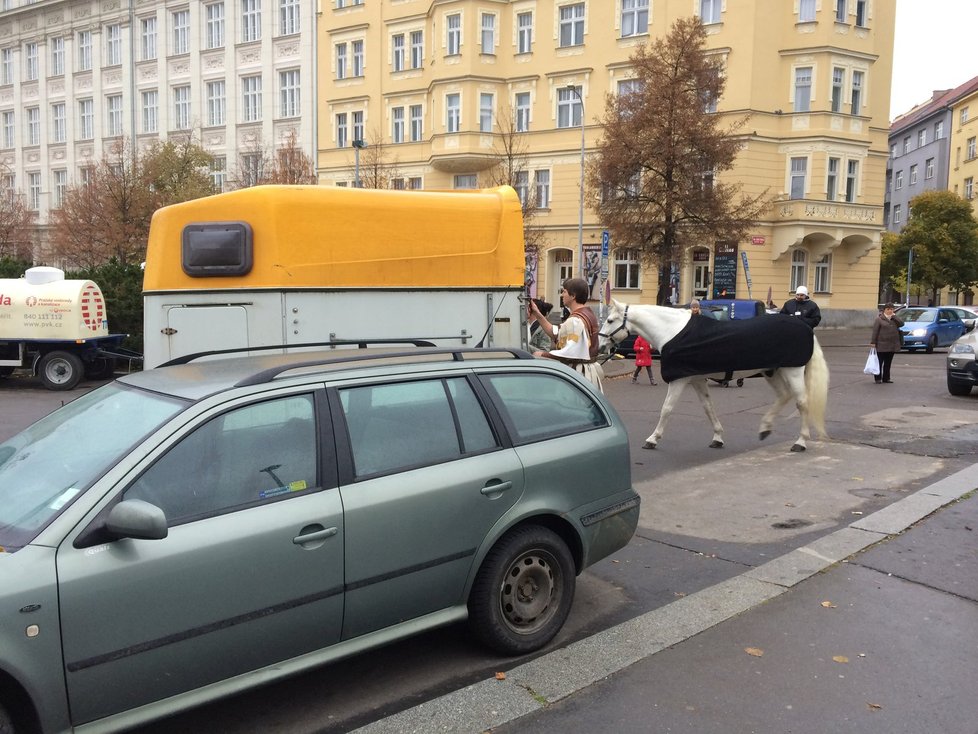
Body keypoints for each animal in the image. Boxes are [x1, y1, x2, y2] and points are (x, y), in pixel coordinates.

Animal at [600, 300, 828, 452]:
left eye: (610, 320)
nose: (601, 345)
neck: (672, 331)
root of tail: (805, 327)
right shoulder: (697, 379)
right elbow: (708, 407)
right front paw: (718, 438)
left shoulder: (679, 381)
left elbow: (667, 409)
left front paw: (652, 439)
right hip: (772, 372)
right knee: (783, 396)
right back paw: (765, 429)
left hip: (793, 370)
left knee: (802, 402)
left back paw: (800, 442)